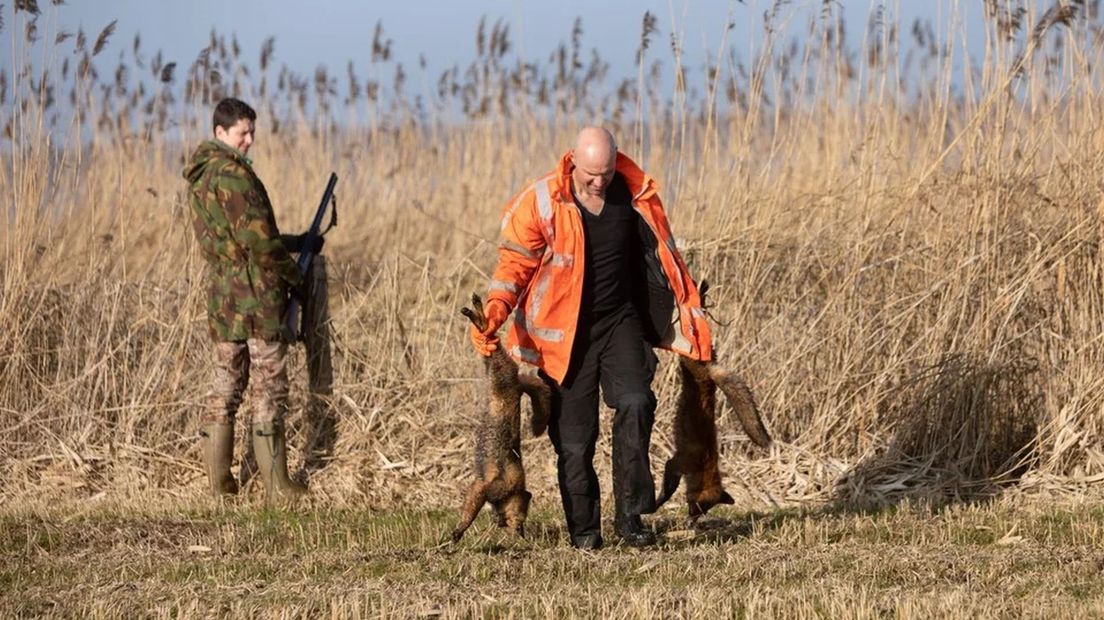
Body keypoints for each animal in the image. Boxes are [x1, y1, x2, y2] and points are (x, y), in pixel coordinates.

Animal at [450, 291, 549, 538]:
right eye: (521, 517)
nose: (521, 533)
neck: (513, 490)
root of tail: (518, 385)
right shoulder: (485, 487)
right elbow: (469, 513)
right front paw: (459, 531)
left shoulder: (481, 486)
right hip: (503, 369)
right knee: (489, 332)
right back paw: (480, 317)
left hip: (495, 370)